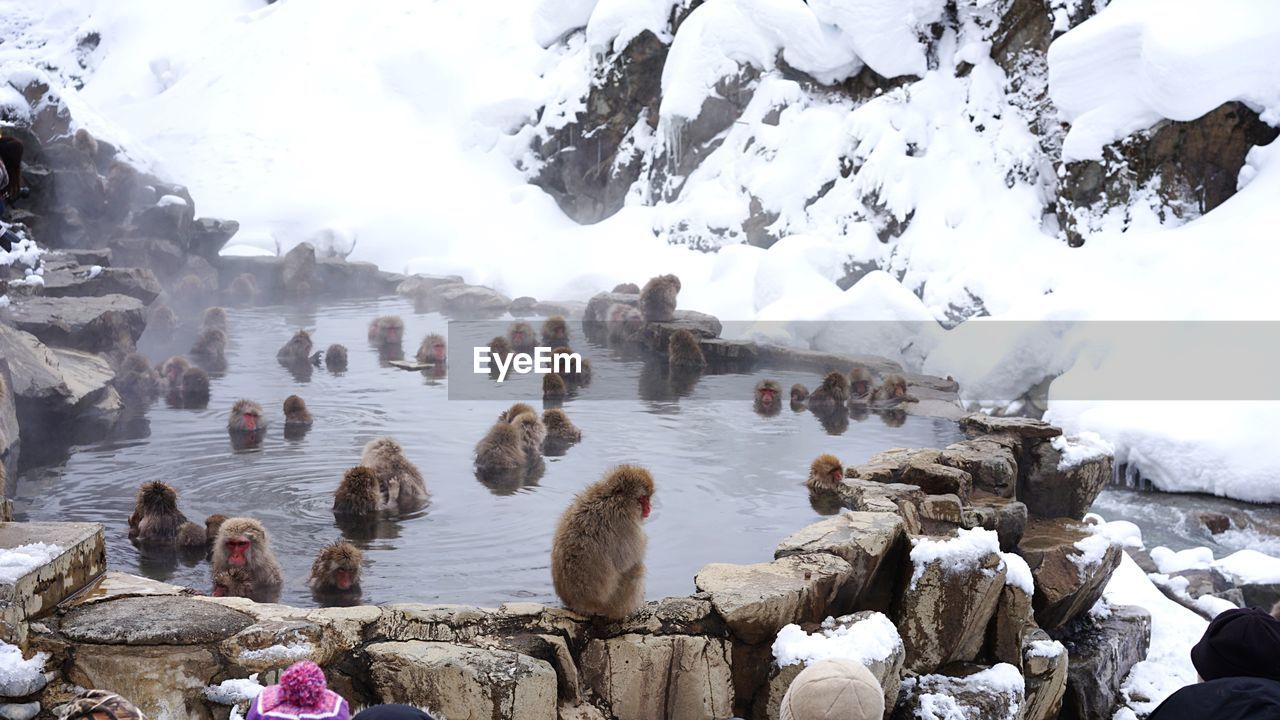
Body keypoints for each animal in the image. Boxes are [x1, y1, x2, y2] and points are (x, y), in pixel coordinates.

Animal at [550, 466, 655, 617]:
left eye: (648, 499)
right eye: (642, 499)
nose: (648, 508)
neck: (611, 498)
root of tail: (577, 605)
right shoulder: (626, 525)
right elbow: (625, 563)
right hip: (611, 604)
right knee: (636, 568)